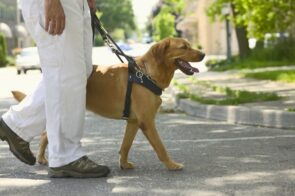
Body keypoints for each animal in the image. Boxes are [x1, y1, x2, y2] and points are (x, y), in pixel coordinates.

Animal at [12, 38, 206, 170]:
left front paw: (124, 163)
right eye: (184, 47)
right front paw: (171, 164)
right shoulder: (147, 122)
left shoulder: (134, 122)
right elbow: (160, 146)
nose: (204, 54)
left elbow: (125, 145)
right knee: (45, 133)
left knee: (46, 134)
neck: (146, 74)